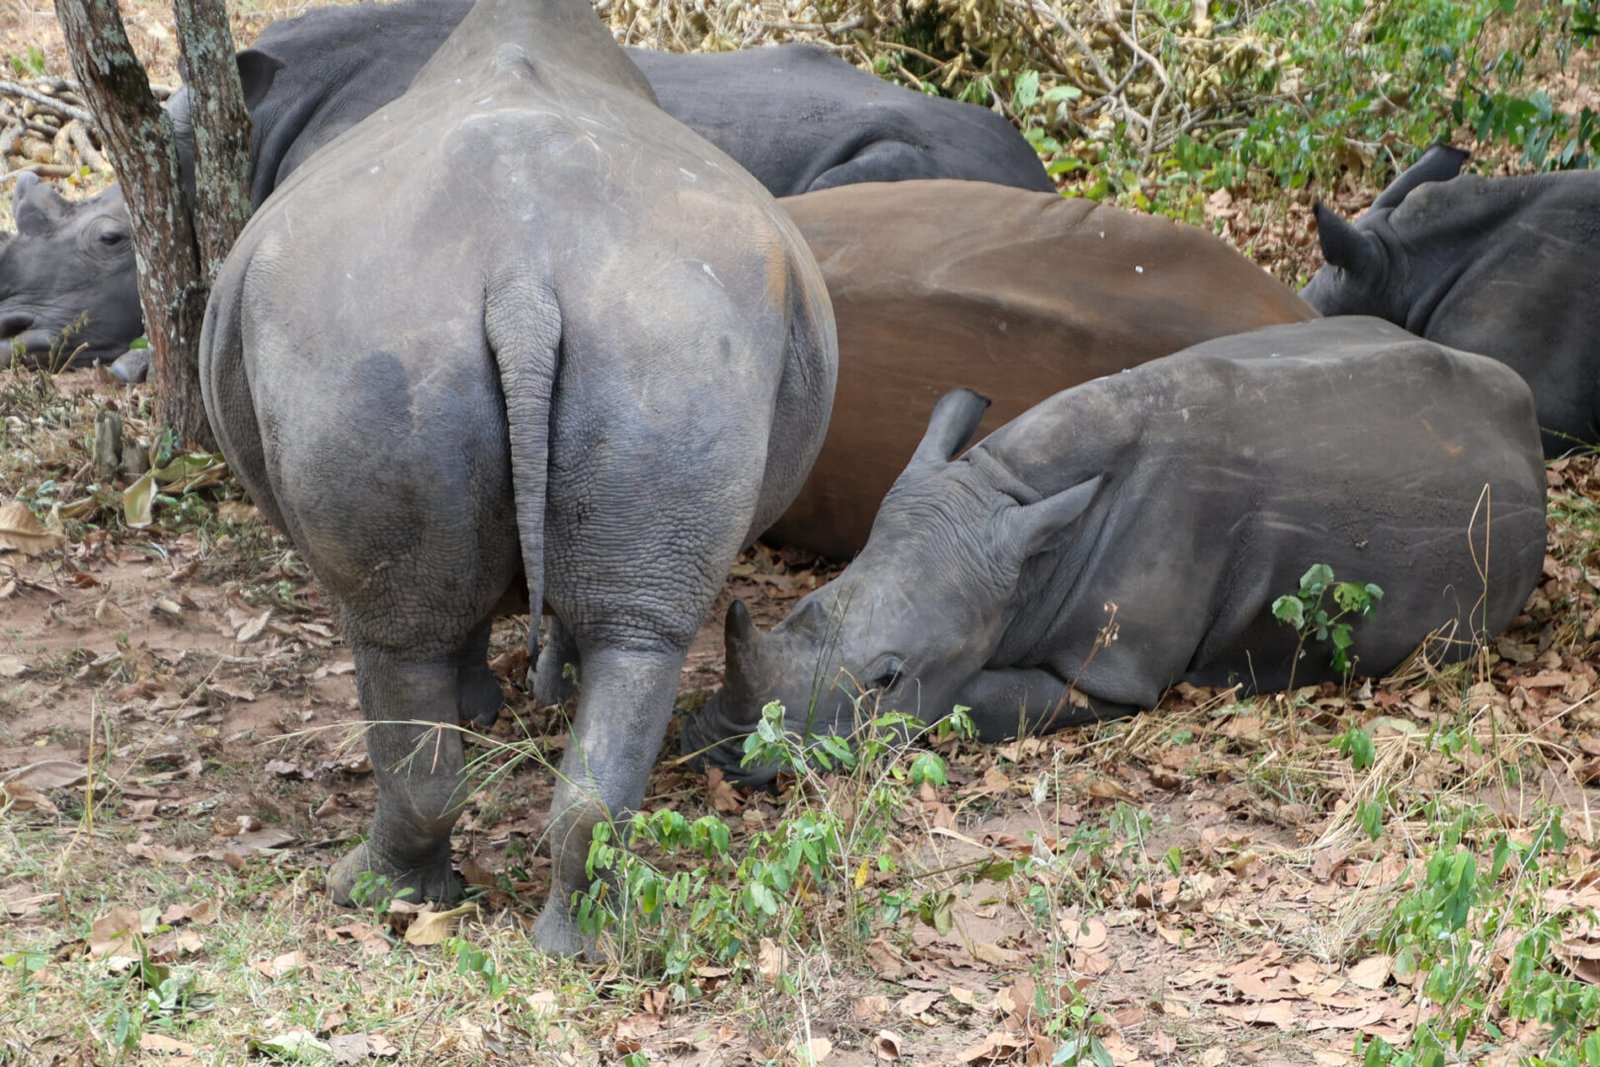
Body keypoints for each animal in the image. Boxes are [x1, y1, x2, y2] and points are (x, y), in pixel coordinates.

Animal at [200, 0, 837, 954]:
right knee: (637, 637)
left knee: (397, 638)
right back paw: (582, 940)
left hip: (368, 330)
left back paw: (371, 892)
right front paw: (524, 696)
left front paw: (493, 702)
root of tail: (521, 273)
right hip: (663, 338)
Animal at [684, 317, 1547, 784]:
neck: (1010, 504)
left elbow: (978, 700)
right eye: (801, 607)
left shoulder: (1113, 673)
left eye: (889, 677)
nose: (720, 748)